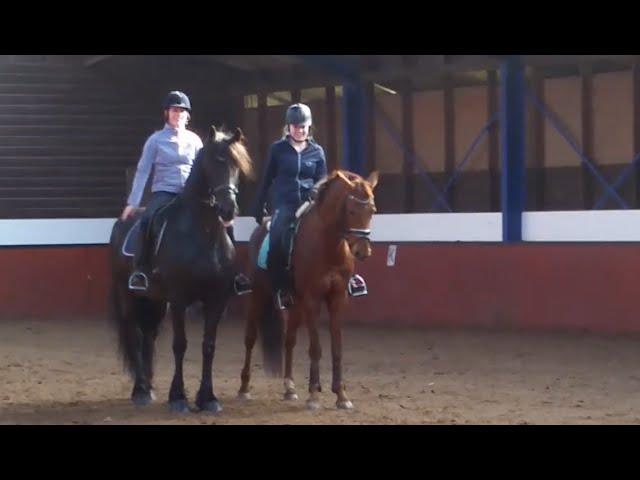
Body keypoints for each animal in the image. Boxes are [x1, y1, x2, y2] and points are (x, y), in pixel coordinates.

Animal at [109, 124, 251, 412]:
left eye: (237, 166)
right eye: (214, 162)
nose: (228, 209)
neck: (202, 232)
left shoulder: (217, 299)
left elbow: (209, 346)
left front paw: (208, 398)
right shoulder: (178, 298)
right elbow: (180, 344)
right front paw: (178, 398)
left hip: (154, 300)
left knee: (149, 335)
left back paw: (149, 389)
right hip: (129, 296)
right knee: (134, 334)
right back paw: (140, 390)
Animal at [240, 169, 380, 408]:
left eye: (372, 211)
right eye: (351, 210)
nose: (363, 252)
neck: (329, 246)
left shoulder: (337, 299)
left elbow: (337, 348)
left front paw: (341, 395)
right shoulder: (312, 299)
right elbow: (316, 348)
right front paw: (314, 394)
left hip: (295, 303)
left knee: (289, 340)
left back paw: (289, 388)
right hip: (259, 295)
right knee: (250, 338)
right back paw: (244, 388)